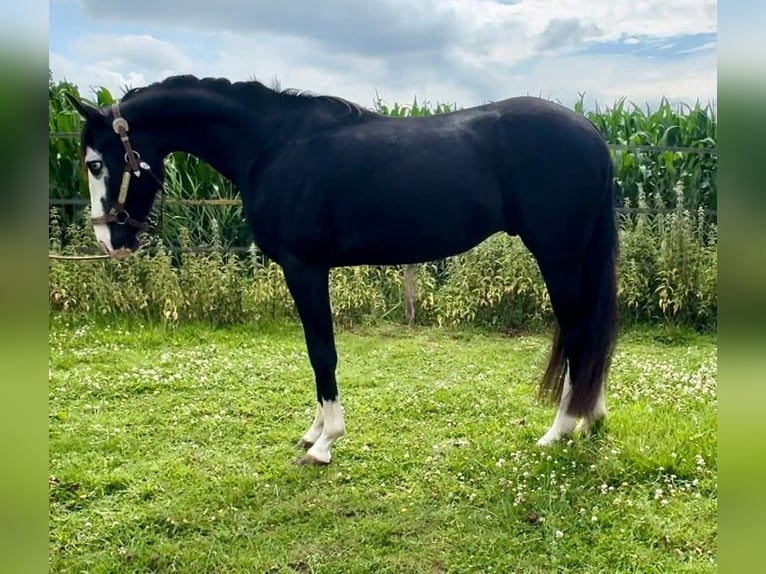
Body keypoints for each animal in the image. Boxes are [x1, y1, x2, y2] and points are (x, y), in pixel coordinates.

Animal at [64, 74, 618, 465]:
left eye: (95, 163)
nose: (109, 241)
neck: (271, 145)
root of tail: (592, 134)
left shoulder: (305, 268)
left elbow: (321, 352)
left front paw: (325, 441)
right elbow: (317, 354)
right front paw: (313, 430)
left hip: (559, 253)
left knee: (576, 332)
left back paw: (560, 429)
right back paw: (589, 416)